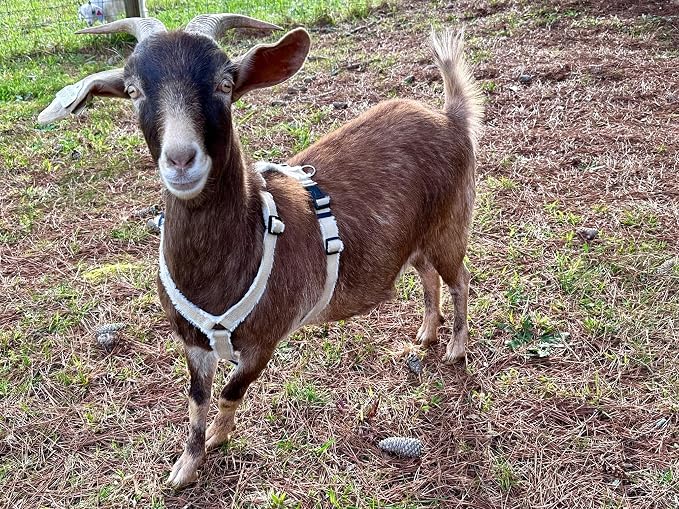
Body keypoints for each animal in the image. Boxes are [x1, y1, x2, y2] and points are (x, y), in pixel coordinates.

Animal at [38, 15, 483, 488]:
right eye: (134, 89)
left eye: (225, 84)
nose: (181, 160)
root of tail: (451, 118)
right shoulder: (193, 342)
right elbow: (196, 401)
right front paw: (186, 466)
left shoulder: (265, 339)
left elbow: (230, 391)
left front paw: (218, 435)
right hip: (416, 239)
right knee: (428, 276)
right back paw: (427, 333)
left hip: (450, 225)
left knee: (459, 279)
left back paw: (455, 347)